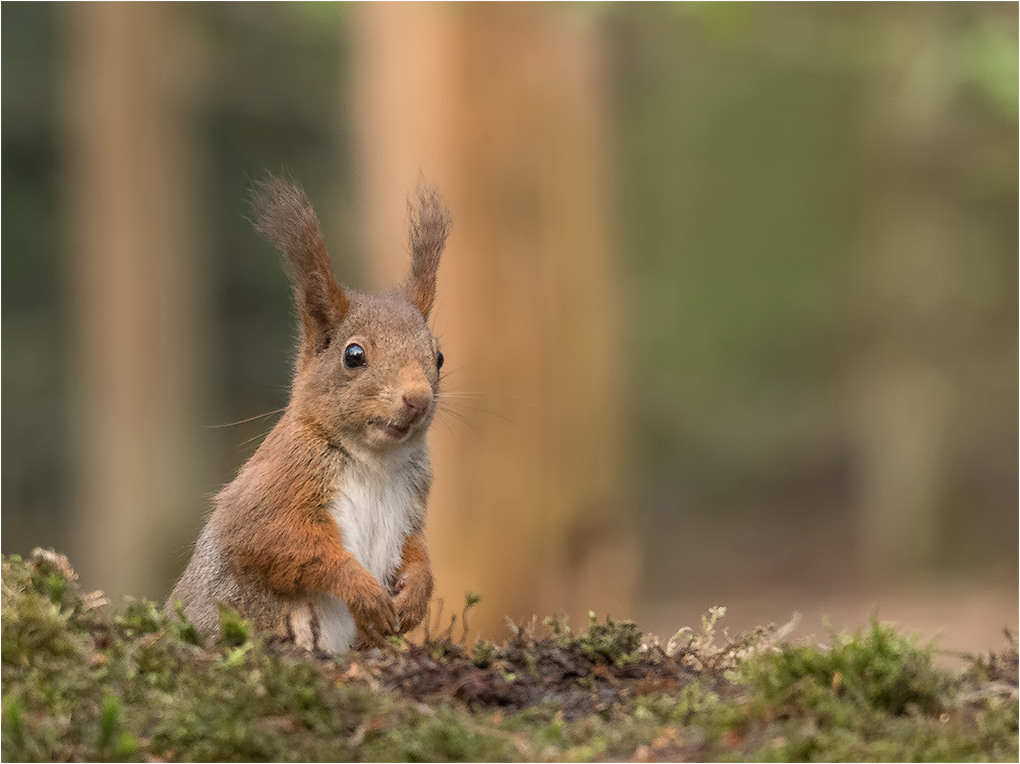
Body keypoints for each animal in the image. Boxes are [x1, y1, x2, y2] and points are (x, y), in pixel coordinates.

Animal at [168, 175, 450, 652]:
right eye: (353, 355)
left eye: (440, 358)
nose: (417, 399)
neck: (375, 460)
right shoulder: (280, 480)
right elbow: (279, 540)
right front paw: (362, 589)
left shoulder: (414, 499)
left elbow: (417, 550)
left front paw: (416, 594)